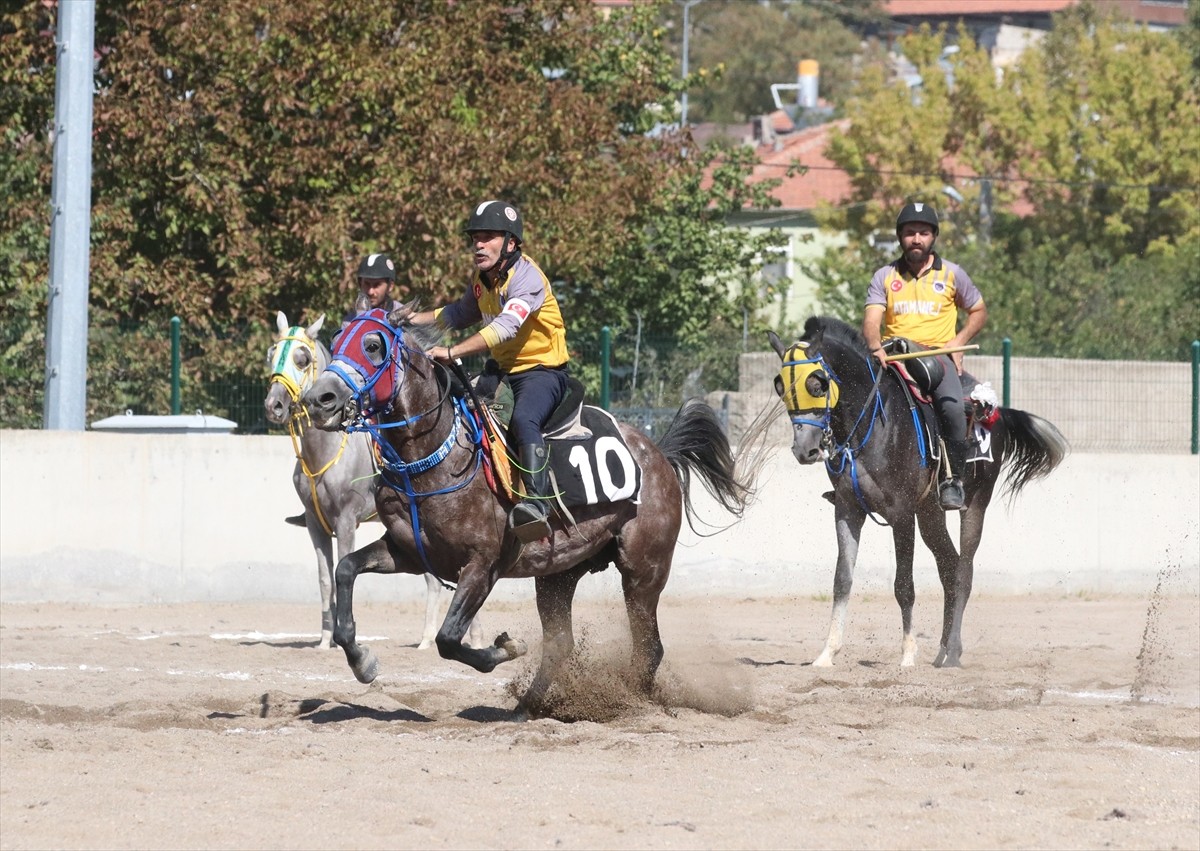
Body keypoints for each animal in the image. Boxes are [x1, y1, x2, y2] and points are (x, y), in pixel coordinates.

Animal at [264, 312, 482, 652]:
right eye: (271, 354)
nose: (274, 405)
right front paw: (325, 639)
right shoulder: (315, 523)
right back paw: (428, 637)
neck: (325, 452)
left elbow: (340, 569)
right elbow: (325, 579)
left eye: (302, 359)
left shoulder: (346, 521)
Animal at [300, 309, 748, 715]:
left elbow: (448, 638)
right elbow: (345, 570)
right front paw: (362, 661)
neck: (434, 459)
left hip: (643, 571)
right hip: (558, 575)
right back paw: (527, 706)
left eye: (373, 346)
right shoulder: (408, 553)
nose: (319, 400)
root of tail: (659, 455)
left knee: (648, 647)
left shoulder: (483, 565)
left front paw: (507, 647)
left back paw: (631, 701)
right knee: (562, 644)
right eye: (337, 342)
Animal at [768, 314, 1070, 667]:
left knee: (963, 573)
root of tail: (993, 411)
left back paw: (953, 652)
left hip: (974, 506)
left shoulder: (901, 515)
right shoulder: (847, 510)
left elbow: (904, 585)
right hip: (930, 515)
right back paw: (942, 650)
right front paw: (828, 653)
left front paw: (908, 654)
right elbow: (842, 580)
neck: (873, 424)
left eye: (817, 383)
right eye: (780, 386)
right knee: (949, 567)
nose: (805, 450)